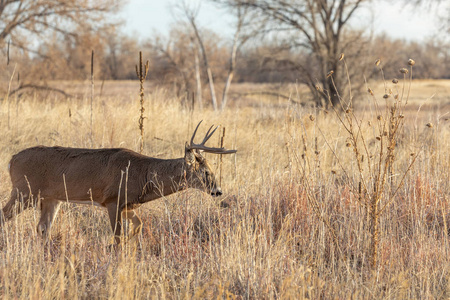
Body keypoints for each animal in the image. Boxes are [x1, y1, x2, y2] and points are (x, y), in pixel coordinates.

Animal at [0, 120, 237, 245]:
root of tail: (12, 160)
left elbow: (138, 225)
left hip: (50, 198)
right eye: (205, 172)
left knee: (42, 228)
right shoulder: (112, 200)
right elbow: (117, 237)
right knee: (5, 216)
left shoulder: (127, 204)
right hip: (24, 191)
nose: (218, 191)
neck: (143, 173)